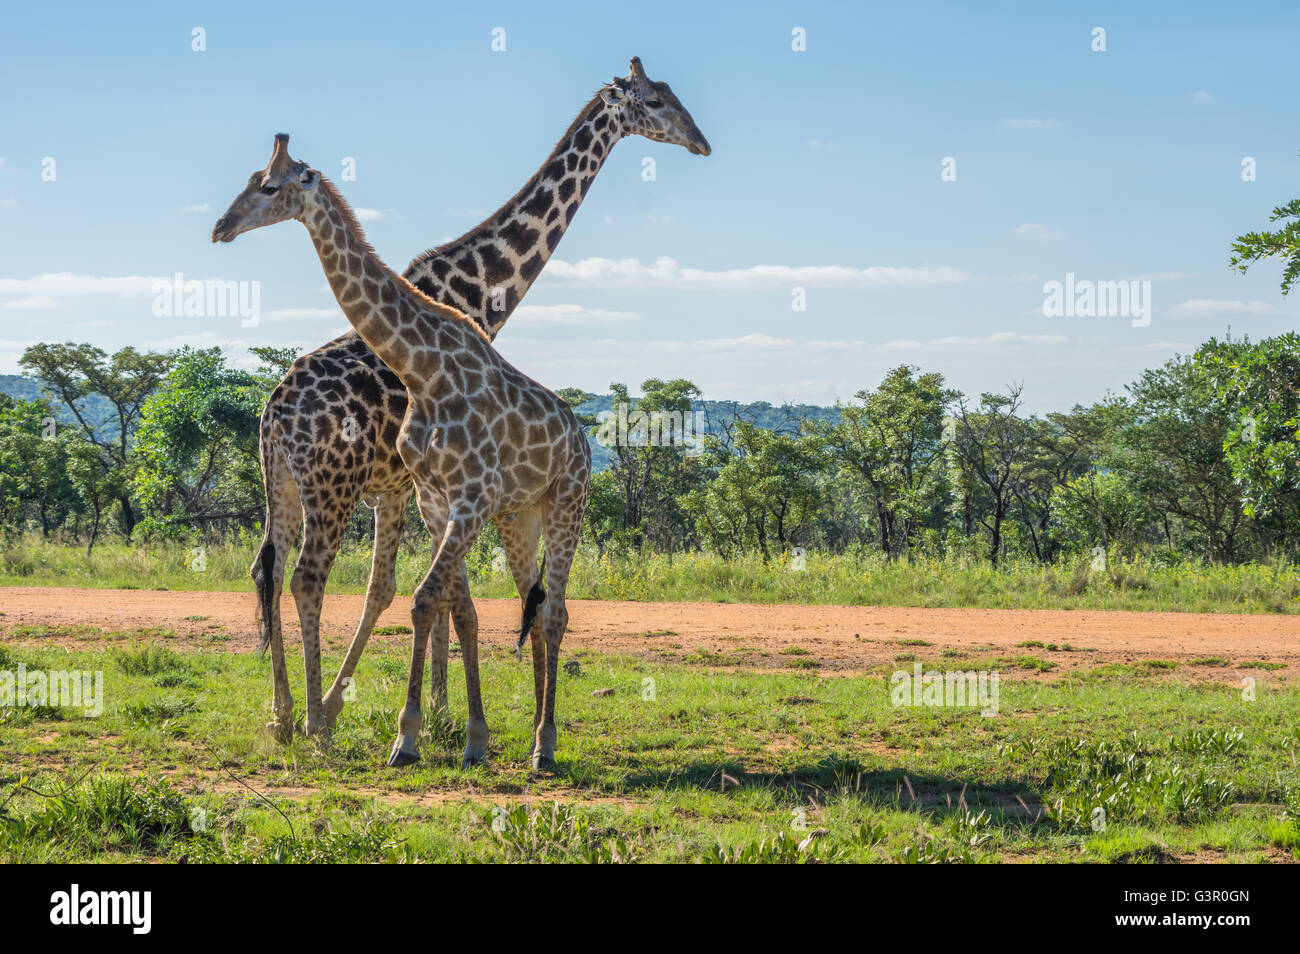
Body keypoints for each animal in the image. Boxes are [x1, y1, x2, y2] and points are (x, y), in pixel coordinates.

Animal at [245, 59, 712, 743]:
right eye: (654, 101)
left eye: (674, 94)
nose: (700, 142)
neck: (481, 290)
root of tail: (274, 413)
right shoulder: (417, 485)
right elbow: (427, 595)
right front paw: (433, 716)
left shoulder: (410, 488)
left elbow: (417, 593)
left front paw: (436, 713)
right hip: (330, 487)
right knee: (307, 578)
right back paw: (311, 719)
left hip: (280, 482)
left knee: (269, 570)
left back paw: (282, 714)